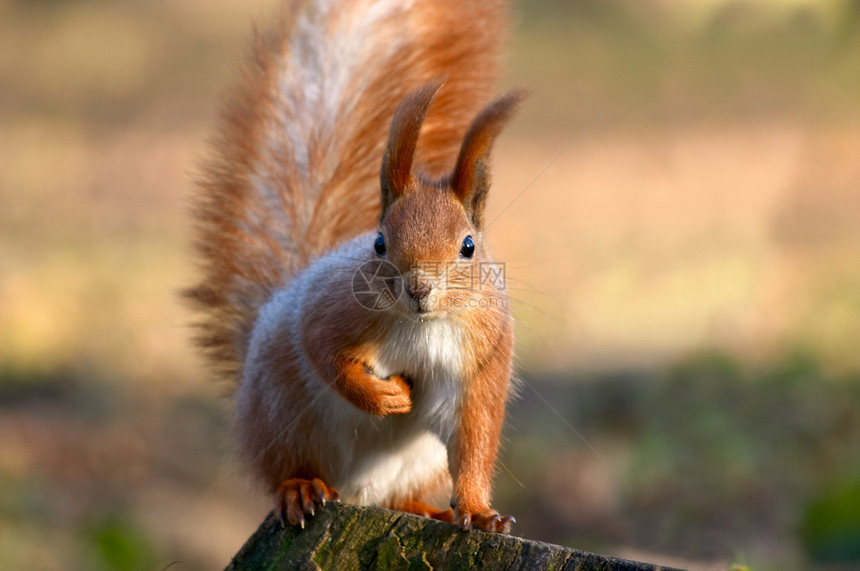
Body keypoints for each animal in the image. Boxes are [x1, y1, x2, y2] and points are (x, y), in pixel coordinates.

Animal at [187, 1, 516, 536]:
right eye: (379, 243)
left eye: (468, 247)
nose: (418, 289)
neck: (422, 325)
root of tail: (356, 491)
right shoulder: (333, 310)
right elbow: (326, 354)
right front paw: (387, 398)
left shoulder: (481, 360)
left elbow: (474, 442)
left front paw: (480, 512)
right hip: (283, 414)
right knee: (286, 467)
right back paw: (300, 489)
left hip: (414, 463)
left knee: (396, 495)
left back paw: (424, 508)